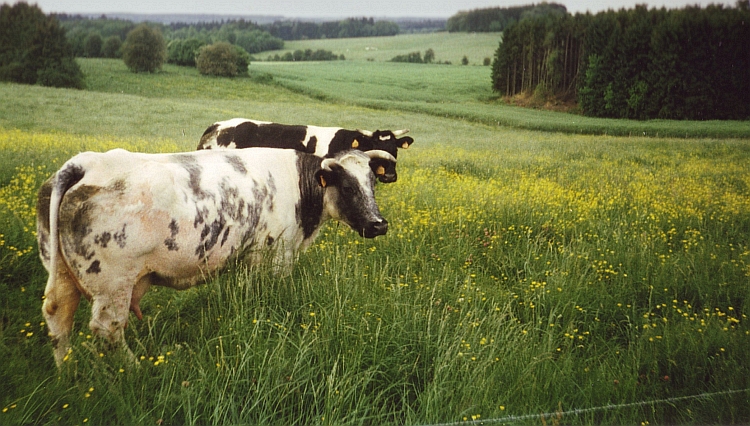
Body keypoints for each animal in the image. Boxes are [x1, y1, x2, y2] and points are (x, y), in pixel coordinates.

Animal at [38, 147, 396, 366]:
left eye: (373, 183)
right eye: (347, 187)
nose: (379, 224)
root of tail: (85, 163)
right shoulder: (277, 256)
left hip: (62, 274)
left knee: (57, 317)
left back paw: (67, 373)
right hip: (113, 283)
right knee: (107, 329)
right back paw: (135, 369)